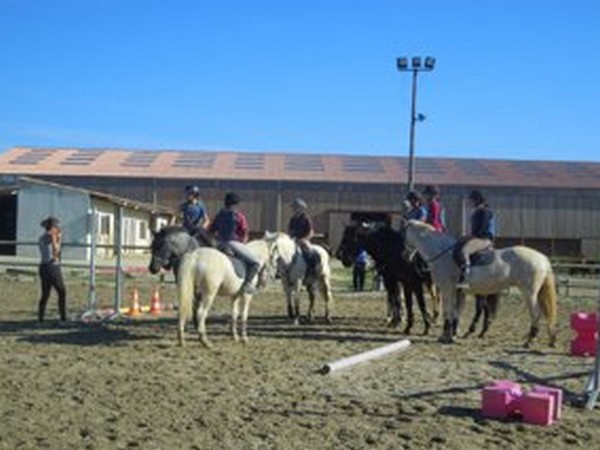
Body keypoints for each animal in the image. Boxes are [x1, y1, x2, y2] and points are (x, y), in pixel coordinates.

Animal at [404, 220, 556, 346]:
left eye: (402, 233)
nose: (406, 257)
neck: (442, 254)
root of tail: (542, 258)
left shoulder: (447, 289)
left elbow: (448, 312)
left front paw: (445, 335)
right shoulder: (459, 292)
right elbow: (456, 312)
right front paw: (453, 335)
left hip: (529, 293)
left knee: (536, 313)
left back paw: (530, 340)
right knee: (545, 312)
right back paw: (549, 340)